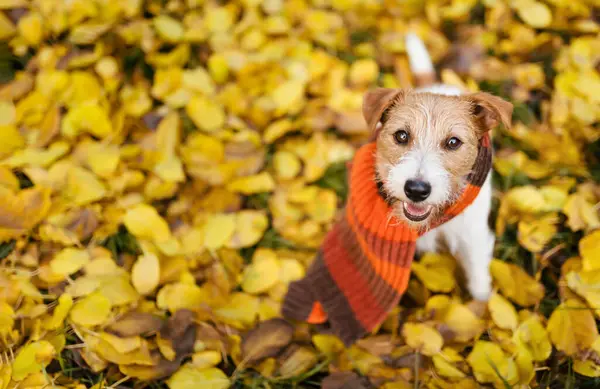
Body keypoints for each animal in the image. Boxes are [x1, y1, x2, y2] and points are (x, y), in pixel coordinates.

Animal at [364, 34, 512, 300]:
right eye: (401, 136)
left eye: (453, 142)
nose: (416, 190)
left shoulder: (472, 238)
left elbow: (478, 280)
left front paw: (482, 305)